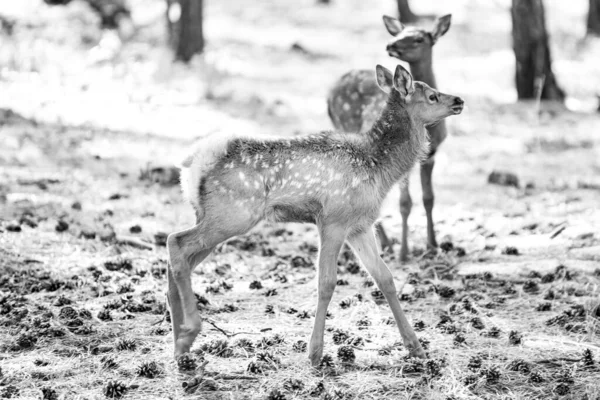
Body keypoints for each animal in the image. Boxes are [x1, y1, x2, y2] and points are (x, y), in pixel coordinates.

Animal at [168, 63, 464, 366]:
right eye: (431, 95)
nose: (459, 100)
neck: (379, 167)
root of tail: (191, 164)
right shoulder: (334, 219)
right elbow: (326, 282)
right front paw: (315, 352)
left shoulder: (360, 225)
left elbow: (384, 277)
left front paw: (416, 347)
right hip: (233, 213)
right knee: (175, 241)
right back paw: (189, 332)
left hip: (210, 215)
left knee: (180, 259)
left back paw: (180, 343)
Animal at [328, 14, 450, 260]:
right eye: (398, 33)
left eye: (419, 38)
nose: (391, 45)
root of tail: (329, 93)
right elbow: (405, 203)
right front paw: (404, 253)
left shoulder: (432, 155)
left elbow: (429, 198)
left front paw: (433, 246)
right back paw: (386, 244)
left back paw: (384, 242)